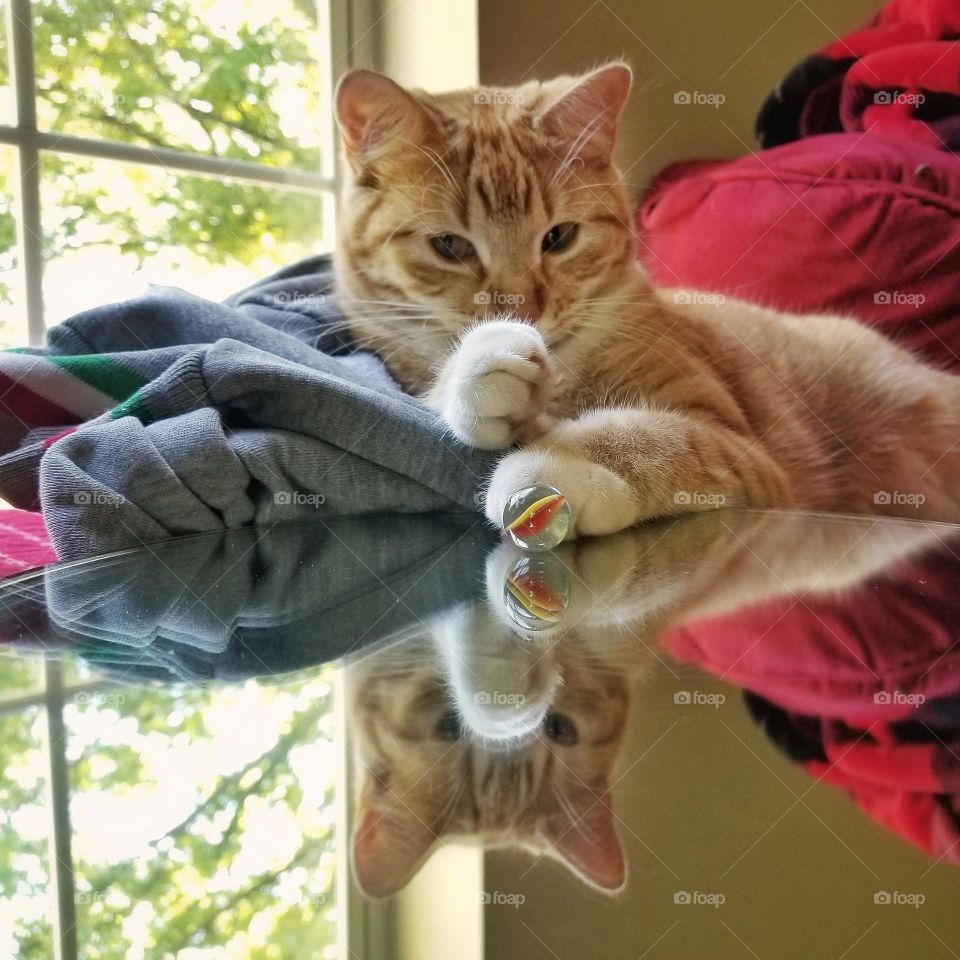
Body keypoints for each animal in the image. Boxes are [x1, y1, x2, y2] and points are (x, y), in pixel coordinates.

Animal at [334, 62, 960, 540]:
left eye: (559, 238)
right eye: (450, 246)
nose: (523, 313)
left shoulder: (739, 446)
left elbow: (657, 436)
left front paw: (559, 468)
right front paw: (483, 372)